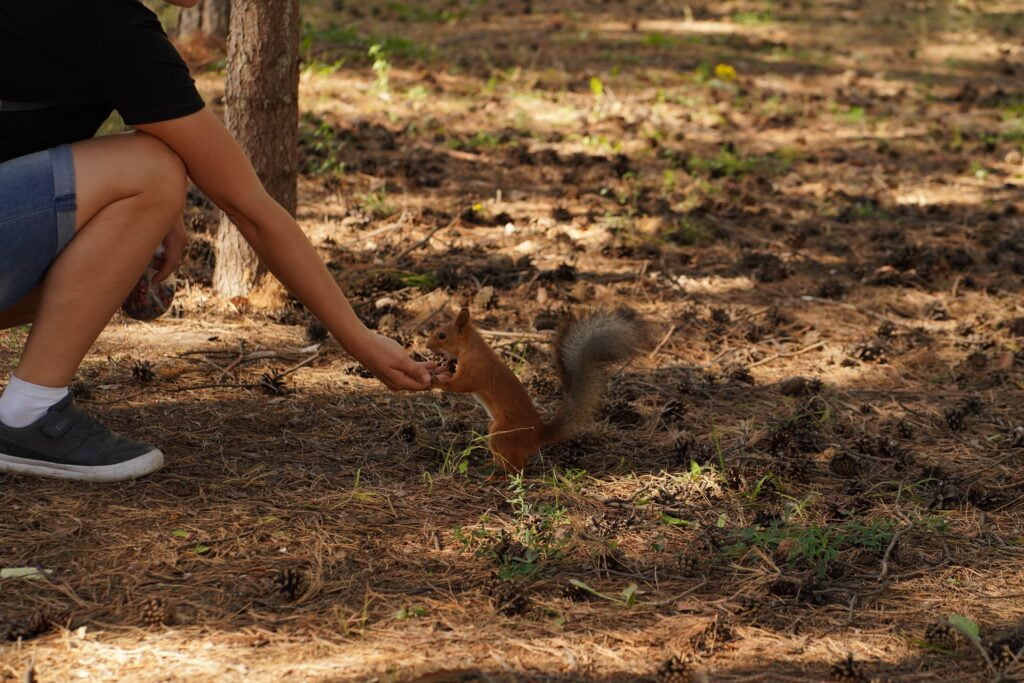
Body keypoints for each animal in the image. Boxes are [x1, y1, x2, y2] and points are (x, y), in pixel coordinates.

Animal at [425, 307, 651, 473]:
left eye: (442, 335)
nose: (427, 346)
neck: (471, 348)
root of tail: (539, 434)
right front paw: (444, 366)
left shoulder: (475, 370)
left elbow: (460, 385)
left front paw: (435, 380)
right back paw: (489, 465)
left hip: (501, 435)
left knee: (517, 468)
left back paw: (496, 477)